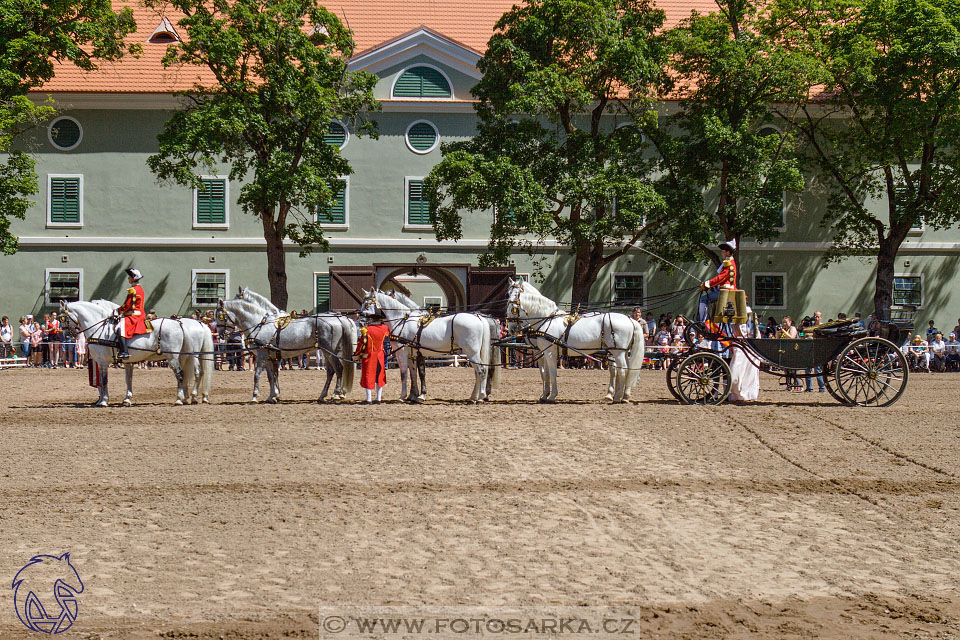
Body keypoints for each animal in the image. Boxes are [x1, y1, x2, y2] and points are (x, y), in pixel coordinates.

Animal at [60, 298, 214, 404]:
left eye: (62, 318)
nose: (67, 335)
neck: (101, 329)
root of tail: (180, 323)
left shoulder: (102, 362)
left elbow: (104, 380)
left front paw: (103, 400)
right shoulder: (128, 361)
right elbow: (128, 379)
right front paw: (126, 398)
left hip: (175, 357)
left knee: (183, 374)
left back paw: (180, 398)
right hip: (184, 356)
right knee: (193, 373)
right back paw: (191, 397)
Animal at [218, 292, 356, 402]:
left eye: (220, 316)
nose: (221, 334)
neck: (260, 324)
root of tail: (338, 317)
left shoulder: (262, 355)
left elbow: (257, 375)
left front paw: (255, 396)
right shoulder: (269, 356)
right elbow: (271, 376)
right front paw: (272, 396)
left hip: (330, 352)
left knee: (338, 369)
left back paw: (336, 394)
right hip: (327, 352)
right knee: (331, 371)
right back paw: (323, 395)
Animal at [356, 288, 498, 402]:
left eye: (367, 304)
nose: (360, 322)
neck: (402, 319)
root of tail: (479, 317)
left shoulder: (402, 353)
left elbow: (404, 374)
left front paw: (403, 396)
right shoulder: (412, 354)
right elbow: (413, 373)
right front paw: (414, 395)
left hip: (472, 352)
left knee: (481, 371)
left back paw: (480, 396)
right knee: (479, 372)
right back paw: (473, 397)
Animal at [502, 278, 644, 402]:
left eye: (517, 295)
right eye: (508, 293)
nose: (511, 328)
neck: (546, 319)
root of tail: (630, 319)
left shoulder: (549, 352)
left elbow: (552, 373)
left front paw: (552, 396)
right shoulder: (544, 352)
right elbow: (545, 373)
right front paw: (544, 395)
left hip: (618, 352)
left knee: (621, 370)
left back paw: (617, 397)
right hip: (622, 351)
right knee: (626, 370)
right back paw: (624, 396)